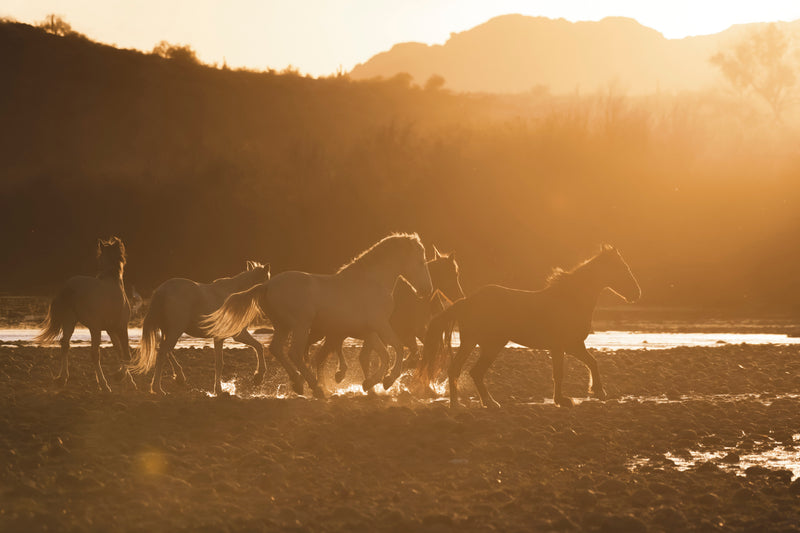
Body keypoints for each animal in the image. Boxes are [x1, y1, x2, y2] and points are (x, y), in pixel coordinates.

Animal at [34, 237, 134, 390]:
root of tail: (69, 287)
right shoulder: (121, 327)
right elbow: (126, 354)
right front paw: (121, 377)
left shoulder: (111, 330)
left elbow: (119, 351)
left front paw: (128, 380)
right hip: (94, 328)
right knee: (94, 354)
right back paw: (104, 385)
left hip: (70, 321)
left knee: (65, 345)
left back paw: (62, 378)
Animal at [128, 260, 270, 392]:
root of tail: (162, 291)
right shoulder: (234, 335)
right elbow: (225, 361)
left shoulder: (227, 336)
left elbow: (255, 348)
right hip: (175, 330)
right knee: (163, 352)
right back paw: (158, 388)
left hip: (167, 331)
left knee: (164, 350)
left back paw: (179, 377)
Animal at [203, 231, 434, 396]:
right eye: (421, 262)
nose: (427, 290)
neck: (371, 282)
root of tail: (267, 285)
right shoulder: (380, 325)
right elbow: (397, 349)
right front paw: (385, 381)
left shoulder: (369, 331)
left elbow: (383, 355)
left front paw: (371, 383)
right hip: (301, 325)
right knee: (294, 353)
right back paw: (315, 387)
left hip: (284, 326)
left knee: (277, 349)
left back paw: (298, 384)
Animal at [310, 245, 466, 390]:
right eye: (454, 274)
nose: (460, 296)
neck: (413, 299)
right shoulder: (403, 334)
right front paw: (389, 377)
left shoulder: (413, 332)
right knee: (322, 355)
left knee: (326, 355)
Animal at [418, 244, 636, 408]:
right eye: (623, 268)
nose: (637, 292)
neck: (570, 299)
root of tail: (467, 301)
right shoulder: (563, 346)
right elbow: (562, 373)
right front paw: (568, 399)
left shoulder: (571, 345)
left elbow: (590, 362)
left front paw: (595, 392)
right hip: (488, 344)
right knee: (469, 371)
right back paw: (473, 403)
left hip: (476, 342)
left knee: (463, 371)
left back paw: (475, 403)